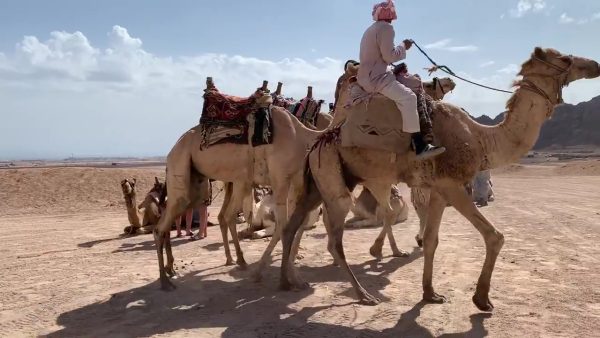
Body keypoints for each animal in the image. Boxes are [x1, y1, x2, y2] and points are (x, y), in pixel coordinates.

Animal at [152, 80, 326, 290]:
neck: (302, 136)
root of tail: (171, 151)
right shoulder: (282, 179)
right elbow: (285, 227)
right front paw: (284, 279)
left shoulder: (296, 184)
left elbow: (295, 226)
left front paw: (294, 276)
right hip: (181, 168)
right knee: (162, 227)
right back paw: (165, 280)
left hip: (202, 183)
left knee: (190, 217)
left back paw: (175, 269)